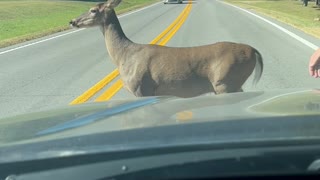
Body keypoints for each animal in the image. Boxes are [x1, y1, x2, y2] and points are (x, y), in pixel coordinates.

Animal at [69, 0, 262, 97]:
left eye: (93, 10)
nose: (72, 21)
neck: (124, 56)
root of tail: (254, 50)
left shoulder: (141, 88)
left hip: (225, 81)